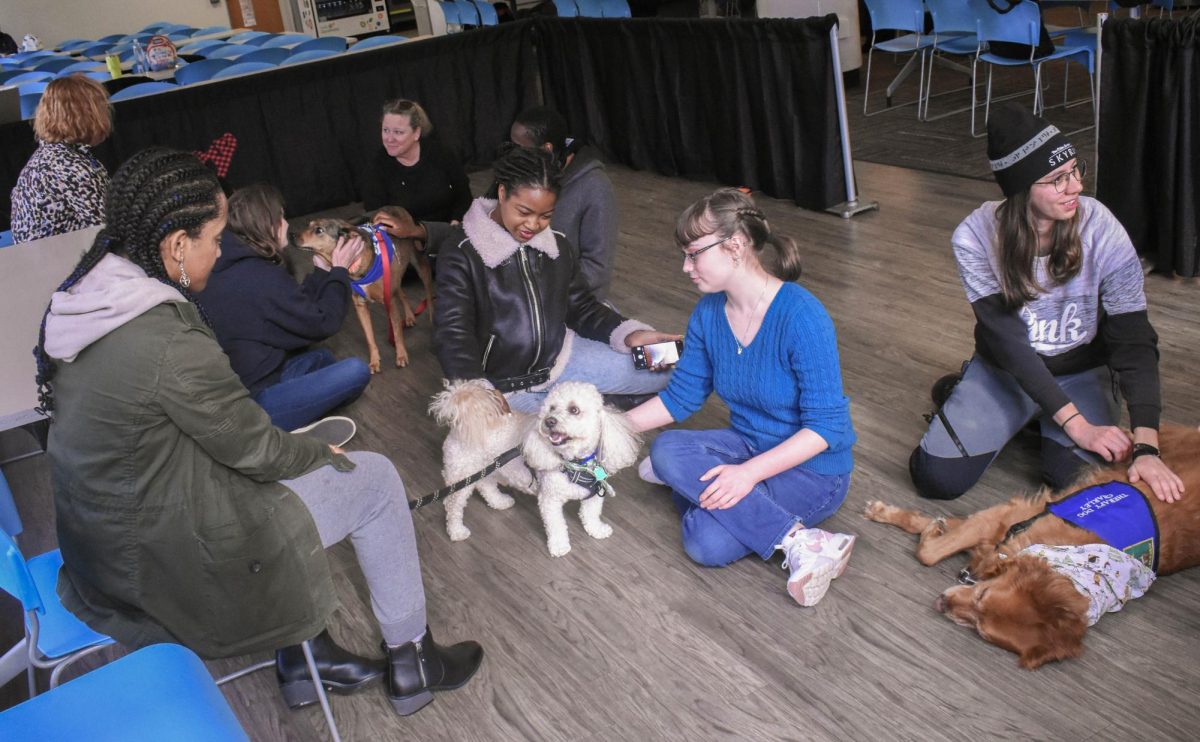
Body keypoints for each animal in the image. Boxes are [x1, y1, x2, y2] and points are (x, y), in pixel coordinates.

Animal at [294, 206, 434, 369]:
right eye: (308, 224)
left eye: (319, 230)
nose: (291, 235)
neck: (355, 264)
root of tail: (396, 207)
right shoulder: (360, 306)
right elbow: (369, 337)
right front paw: (374, 361)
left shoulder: (390, 301)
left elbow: (397, 331)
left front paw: (401, 355)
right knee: (401, 291)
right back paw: (410, 316)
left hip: (419, 264)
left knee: (428, 293)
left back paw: (432, 320)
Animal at [520, 381, 643, 554]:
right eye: (551, 408)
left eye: (574, 410)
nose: (549, 421)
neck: (578, 465)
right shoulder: (549, 500)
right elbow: (555, 525)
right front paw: (559, 545)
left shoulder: (595, 495)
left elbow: (591, 514)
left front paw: (596, 530)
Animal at [864, 422, 1200, 672]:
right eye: (982, 595)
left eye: (981, 629)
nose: (940, 603)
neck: (1069, 557)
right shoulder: (1005, 518)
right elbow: (932, 550)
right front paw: (902, 518)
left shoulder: (999, 529)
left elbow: (934, 545)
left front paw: (931, 525)